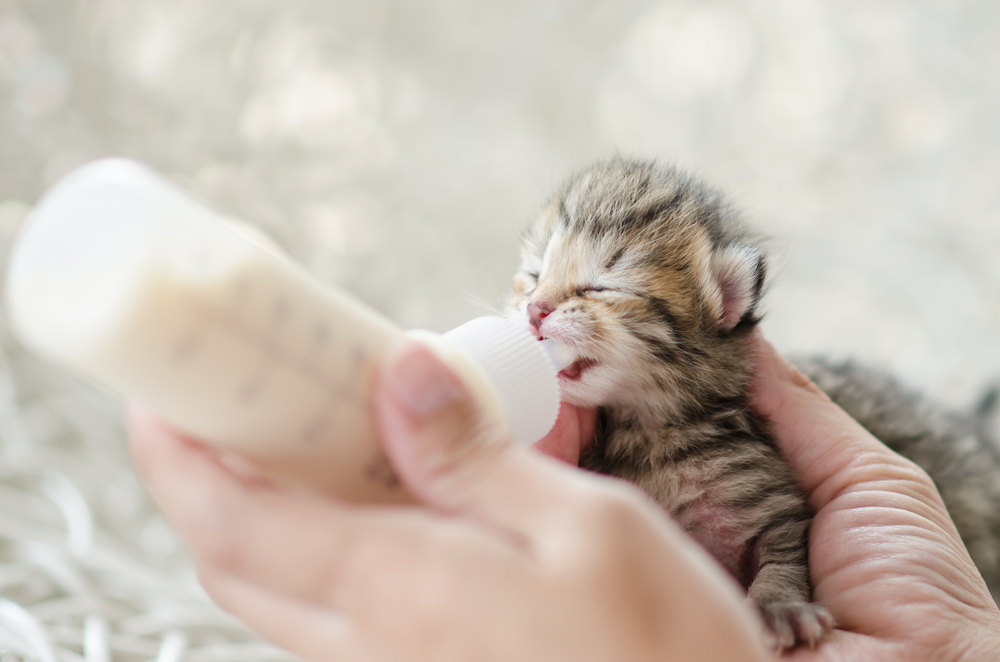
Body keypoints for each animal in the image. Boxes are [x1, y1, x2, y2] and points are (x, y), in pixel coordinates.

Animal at [508, 158, 1000, 652]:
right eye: (533, 277)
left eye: (601, 286)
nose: (535, 310)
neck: (648, 432)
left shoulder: (775, 503)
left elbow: (784, 556)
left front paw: (778, 606)